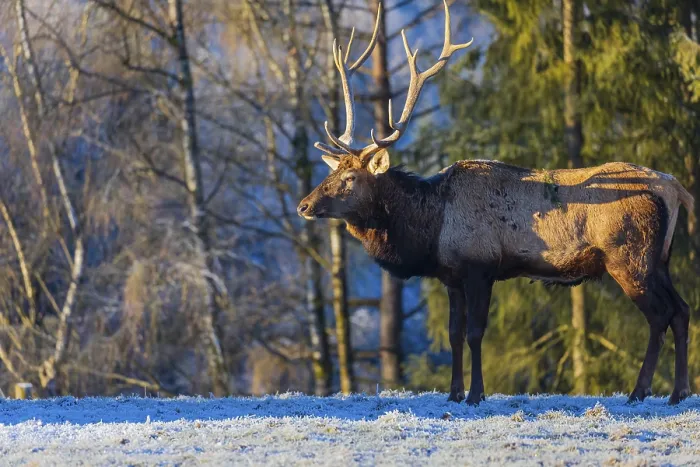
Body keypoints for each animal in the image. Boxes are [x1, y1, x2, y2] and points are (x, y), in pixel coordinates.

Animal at [298, 0, 695, 406]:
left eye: (350, 178)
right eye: (332, 171)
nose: (304, 205)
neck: (431, 229)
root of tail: (676, 189)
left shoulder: (480, 265)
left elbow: (475, 333)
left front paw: (476, 394)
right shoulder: (451, 275)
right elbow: (454, 334)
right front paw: (454, 394)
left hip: (629, 257)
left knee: (660, 315)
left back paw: (640, 391)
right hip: (659, 259)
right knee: (682, 310)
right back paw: (678, 391)